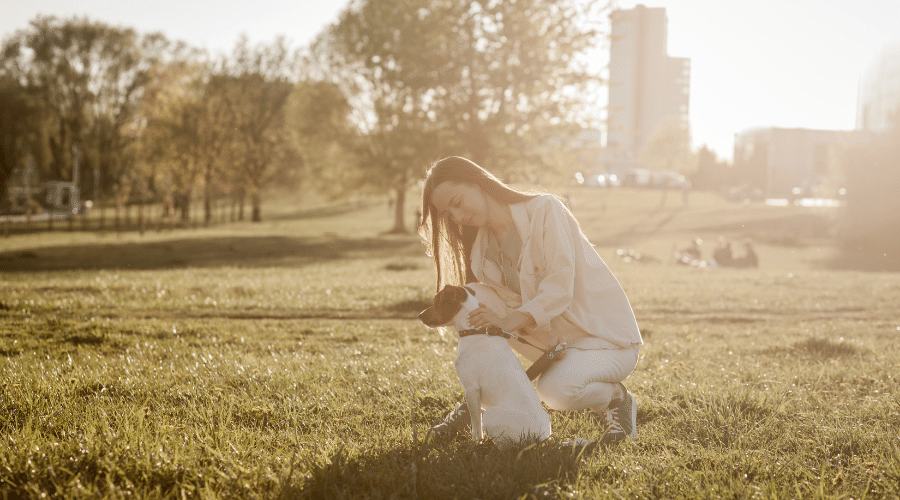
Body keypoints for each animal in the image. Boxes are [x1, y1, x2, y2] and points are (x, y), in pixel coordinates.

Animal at [418, 284, 552, 448]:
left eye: (437, 301)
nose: (420, 316)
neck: (475, 331)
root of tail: (541, 438)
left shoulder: (471, 389)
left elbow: (476, 424)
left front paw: (476, 443)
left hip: (490, 415)